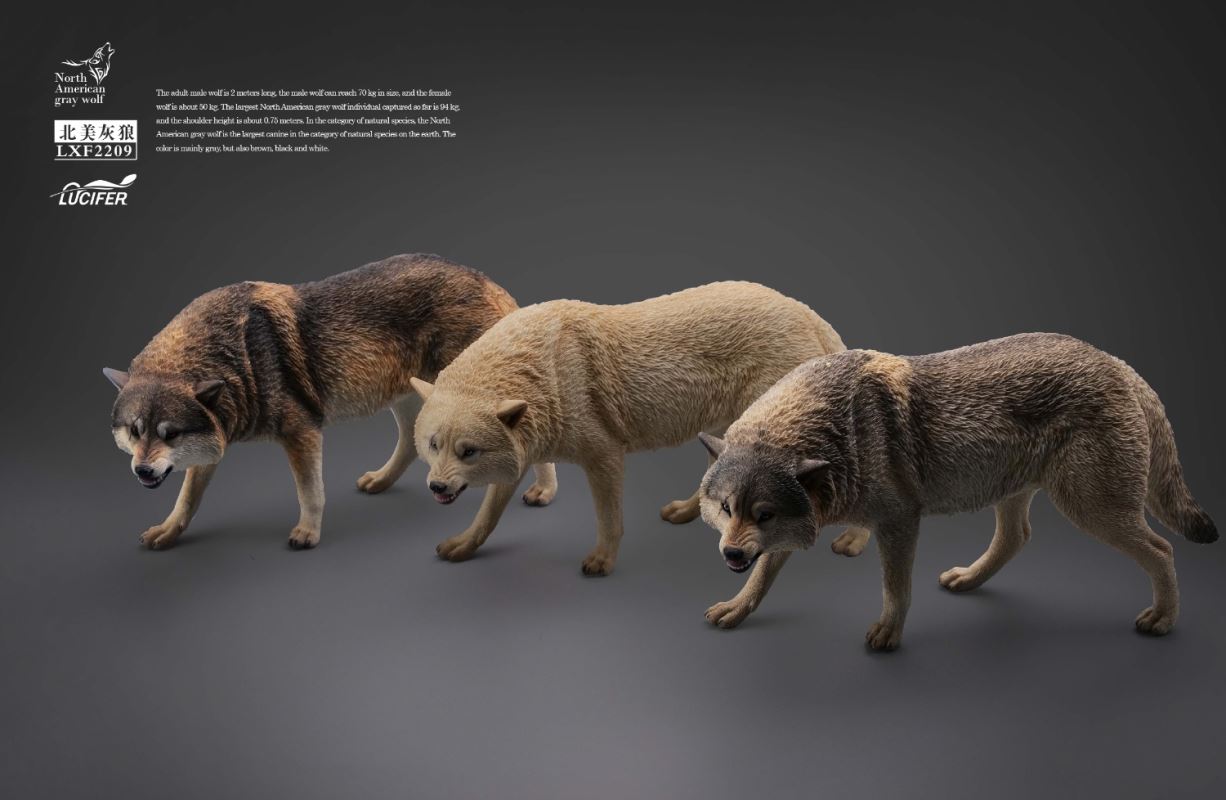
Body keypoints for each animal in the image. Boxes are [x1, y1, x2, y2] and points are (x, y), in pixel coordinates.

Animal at [103, 254, 557, 550]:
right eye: (135, 431)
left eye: (170, 434)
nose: (142, 471)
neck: (237, 355)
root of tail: (491, 282)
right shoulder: (214, 440)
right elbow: (186, 498)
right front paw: (167, 531)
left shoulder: (301, 431)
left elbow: (310, 492)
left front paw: (308, 533)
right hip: (409, 396)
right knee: (411, 444)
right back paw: (381, 481)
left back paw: (544, 492)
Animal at [409, 281, 861, 576]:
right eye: (433, 445)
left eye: (468, 451)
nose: (436, 487)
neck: (545, 371)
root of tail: (807, 313)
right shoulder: (522, 451)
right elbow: (488, 514)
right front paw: (462, 545)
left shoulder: (605, 455)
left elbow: (609, 519)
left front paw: (602, 562)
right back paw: (685, 511)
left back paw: (853, 541)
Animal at [697, 333, 1216, 649]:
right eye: (726, 508)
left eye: (764, 513)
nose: (731, 554)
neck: (841, 434)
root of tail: (1119, 364)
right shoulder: (799, 527)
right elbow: (762, 578)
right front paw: (736, 608)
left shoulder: (900, 521)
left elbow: (895, 589)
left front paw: (888, 634)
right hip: (1015, 493)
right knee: (1016, 538)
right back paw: (968, 579)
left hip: (1091, 509)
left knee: (1162, 548)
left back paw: (1163, 618)